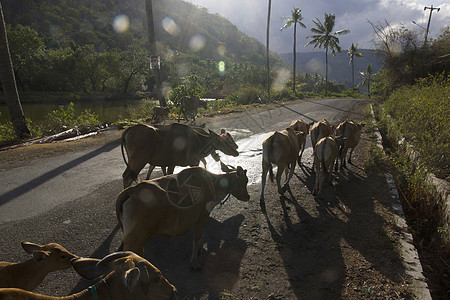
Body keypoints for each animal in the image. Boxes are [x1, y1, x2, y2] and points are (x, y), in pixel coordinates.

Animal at [116, 164, 250, 270]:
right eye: (245, 181)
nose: (248, 196)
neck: (212, 183)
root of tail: (132, 191)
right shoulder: (203, 216)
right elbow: (196, 238)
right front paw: (194, 263)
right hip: (136, 239)